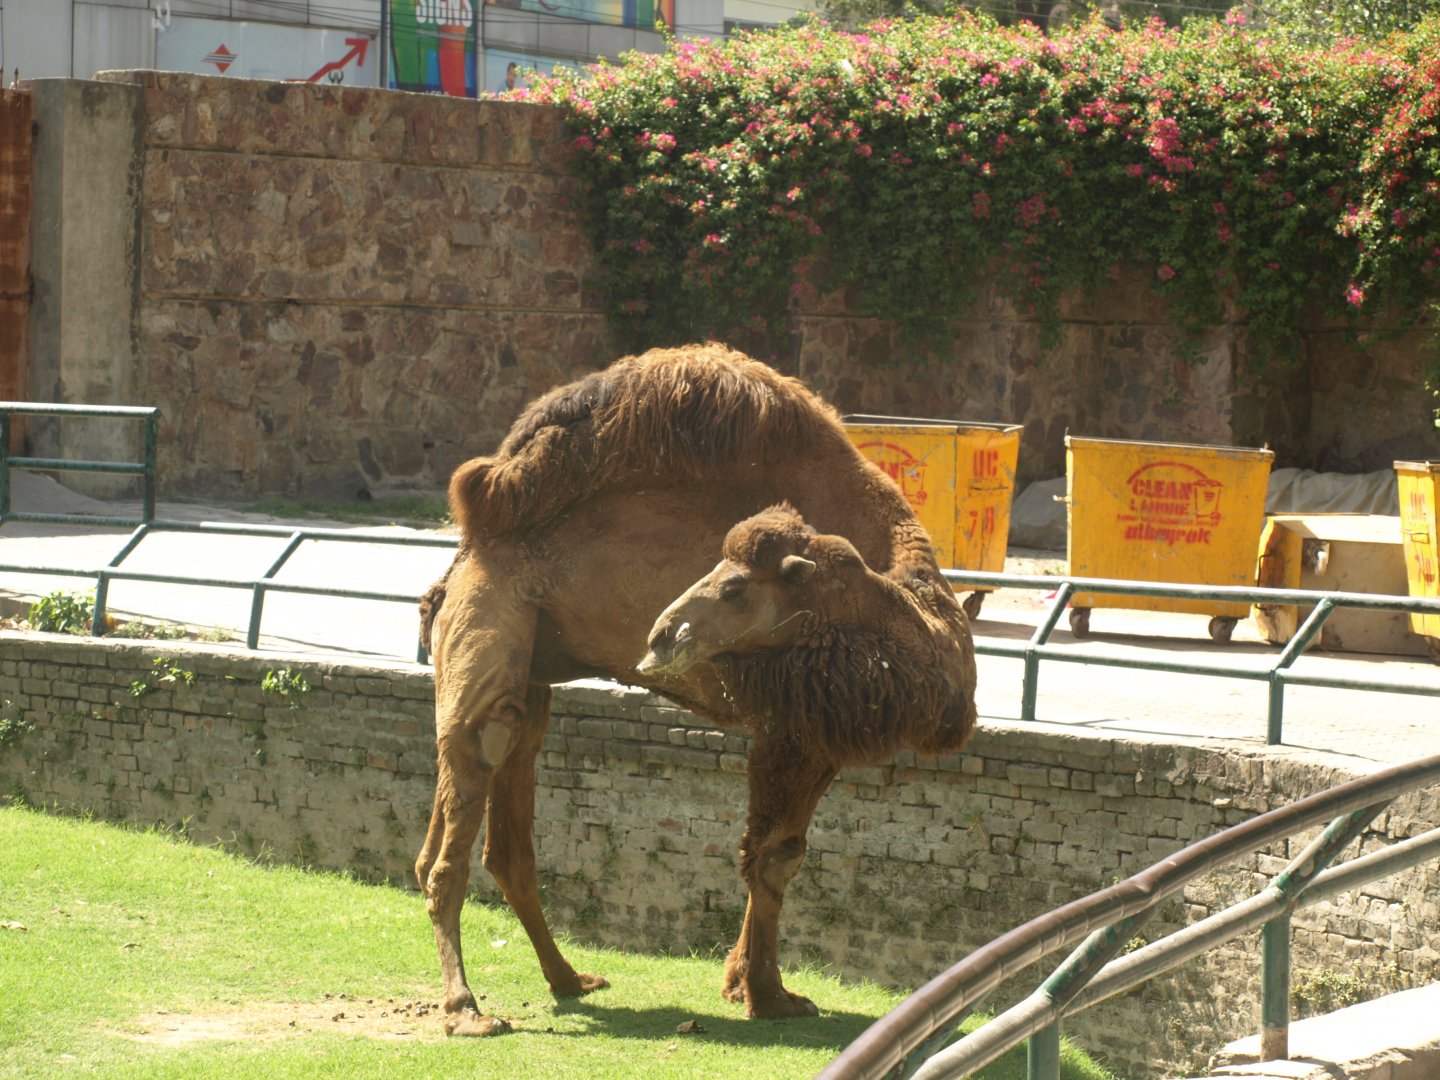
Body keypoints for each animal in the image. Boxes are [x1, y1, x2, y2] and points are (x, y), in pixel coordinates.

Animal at [416, 343, 978, 1037]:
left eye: (734, 587)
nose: (663, 633)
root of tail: (464, 558)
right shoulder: (790, 731)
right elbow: (771, 857)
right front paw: (768, 995)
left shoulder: (818, 739)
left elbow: (780, 850)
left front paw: (746, 985)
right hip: (491, 636)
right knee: (459, 821)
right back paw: (465, 1010)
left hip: (532, 671)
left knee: (501, 838)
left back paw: (571, 979)